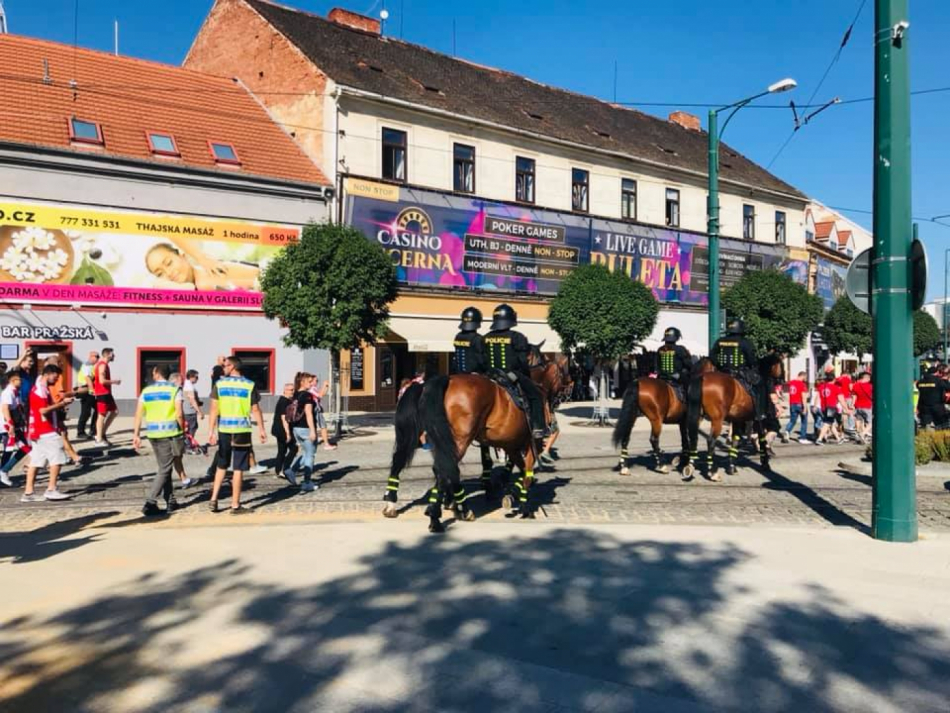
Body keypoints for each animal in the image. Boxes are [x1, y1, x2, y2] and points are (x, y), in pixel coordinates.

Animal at [386, 372, 552, 528]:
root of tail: (445, 379)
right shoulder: (532, 445)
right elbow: (527, 473)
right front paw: (524, 505)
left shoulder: (510, 446)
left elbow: (518, 469)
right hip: (459, 440)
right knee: (444, 470)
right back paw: (441, 515)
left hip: (421, 437)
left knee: (400, 462)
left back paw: (392, 504)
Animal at [688, 354, 784, 482]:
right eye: (781, 364)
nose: (783, 380)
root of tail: (702, 378)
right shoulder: (759, 419)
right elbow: (762, 440)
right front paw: (765, 463)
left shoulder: (738, 420)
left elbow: (735, 440)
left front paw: (732, 467)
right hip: (717, 420)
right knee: (711, 441)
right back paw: (712, 472)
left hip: (698, 417)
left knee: (693, 438)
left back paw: (690, 466)